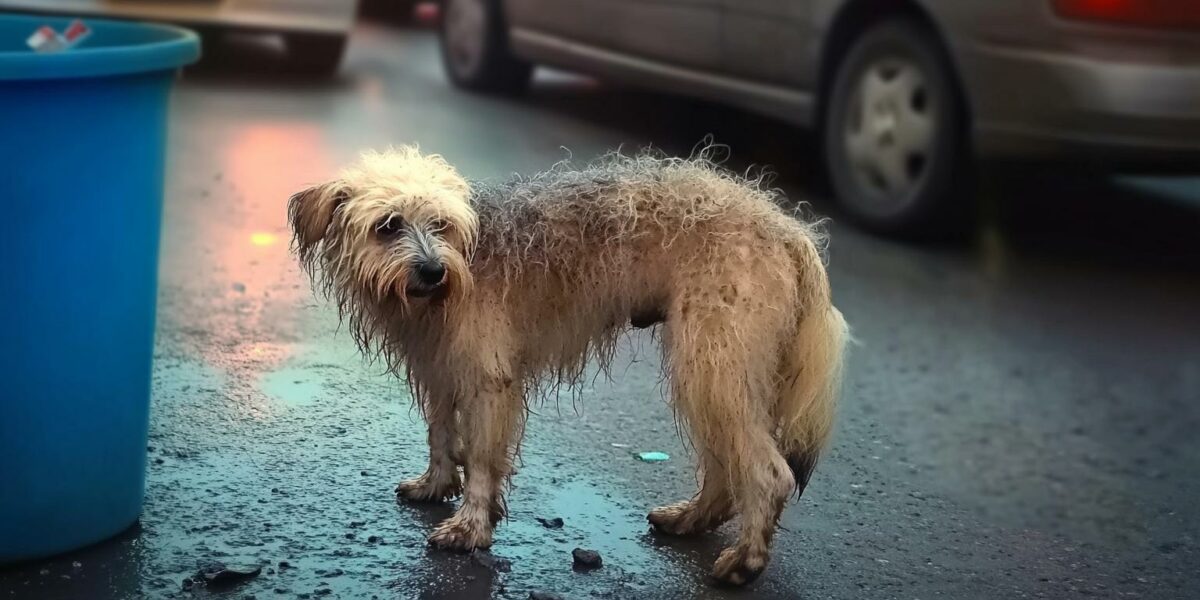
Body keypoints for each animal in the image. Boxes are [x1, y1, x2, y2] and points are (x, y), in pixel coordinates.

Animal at [286, 145, 849, 585]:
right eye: (388, 226)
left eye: (440, 225)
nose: (432, 271)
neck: (464, 261)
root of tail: (788, 229)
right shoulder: (439, 368)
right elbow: (442, 435)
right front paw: (437, 483)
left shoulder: (489, 380)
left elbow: (483, 459)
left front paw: (471, 526)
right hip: (714, 372)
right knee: (725, 467)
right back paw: (692, 518)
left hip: (713, 366)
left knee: (766, 472)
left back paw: (746, 560)